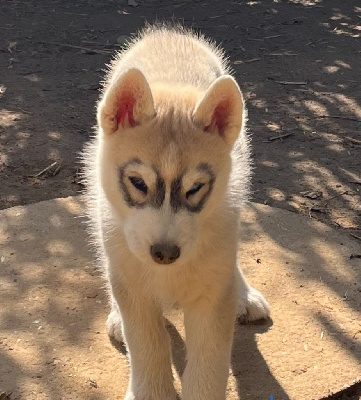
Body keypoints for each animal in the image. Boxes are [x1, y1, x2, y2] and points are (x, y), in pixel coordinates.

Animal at [83, 24, 268, 400]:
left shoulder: (211, 297)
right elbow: (148, 346)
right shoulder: (135, 291)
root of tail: (166, 32)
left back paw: (244, 294)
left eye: (195, 189)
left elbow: (209, 364)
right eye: (138, 183)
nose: (165, 253)